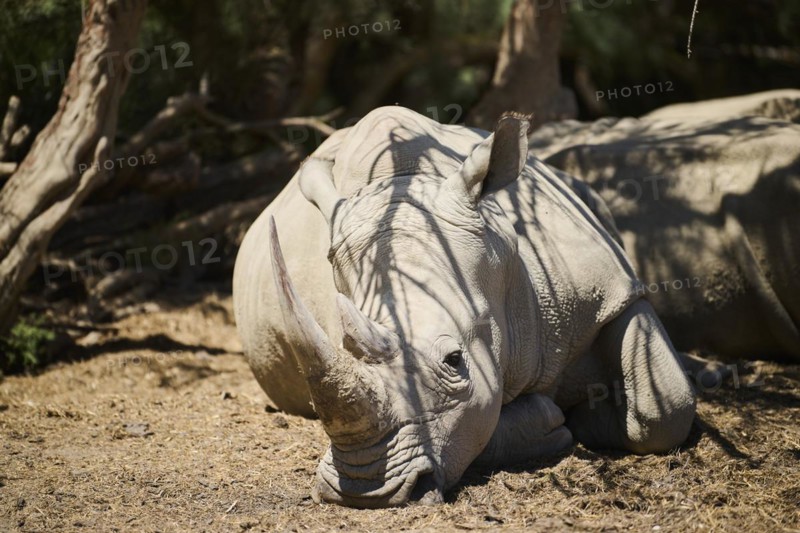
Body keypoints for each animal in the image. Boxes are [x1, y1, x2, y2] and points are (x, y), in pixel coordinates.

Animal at [233, 107, 696, 508]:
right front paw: (555, 418)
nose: (366, 488)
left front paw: (588, 414)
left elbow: (665, 408)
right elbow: (485, 421)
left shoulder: (611, 289)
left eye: (454, 360)